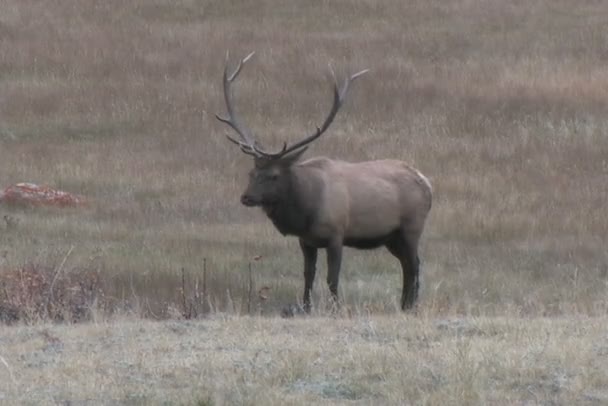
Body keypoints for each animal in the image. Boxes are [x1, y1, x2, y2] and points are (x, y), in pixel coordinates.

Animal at [215, 51, 432, 314]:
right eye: (251, 173)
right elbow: (308, 275)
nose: (246, 197)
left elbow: (332, 277)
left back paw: (412, 305)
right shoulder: (306, 241)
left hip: (412, 227)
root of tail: (427, 183)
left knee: (415, 265)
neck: (307, 211)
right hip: (392, 237)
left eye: (274, 175)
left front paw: (336, 307)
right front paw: (306, 307)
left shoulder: (336, 234)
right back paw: (403, 304)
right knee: (406, 265)